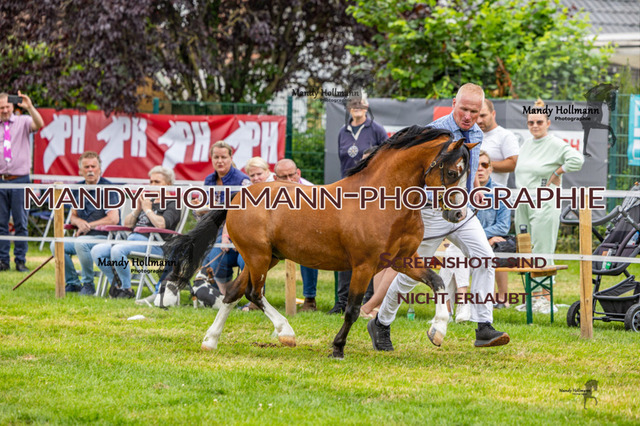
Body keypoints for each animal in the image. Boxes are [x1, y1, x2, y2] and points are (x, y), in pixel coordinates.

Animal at [162, 125, 476, 359]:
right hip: (258, 256)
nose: (458, 214)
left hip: (264, 257)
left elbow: (437, 282)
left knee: (233, 293)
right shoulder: (363, 266)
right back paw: (286, 333)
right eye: (452, 172)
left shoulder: (401, 260)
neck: (382, 200)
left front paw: (438, 331)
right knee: (252, 293)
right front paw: (337, 348)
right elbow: (352, 309)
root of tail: (239, 196)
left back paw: (211, 341)